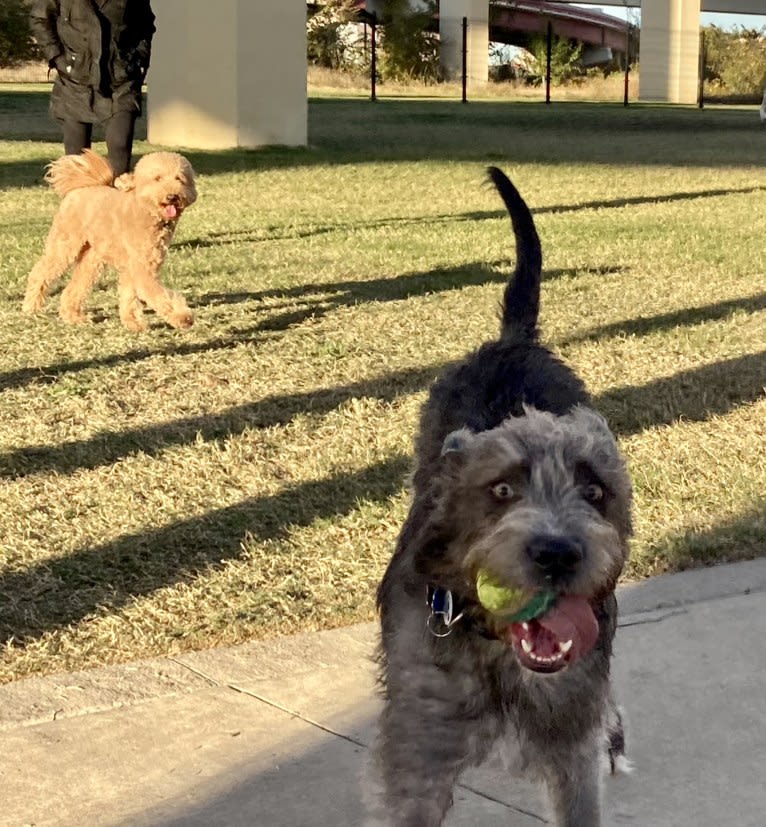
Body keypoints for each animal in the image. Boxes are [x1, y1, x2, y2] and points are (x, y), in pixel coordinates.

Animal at [23, 150, 198, 332]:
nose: (172, 196)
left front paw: (133, 322)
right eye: (157, 178)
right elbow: (157, 294)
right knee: (40, 273)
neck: (146, 212)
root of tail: (79, 188)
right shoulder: (142, 268)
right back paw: (31, 307)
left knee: (76, 285)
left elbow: (129, 295)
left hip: (92, 258)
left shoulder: (134, 267)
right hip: (65, 245)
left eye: (179, 179)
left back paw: (73, 316)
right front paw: (182, 317)